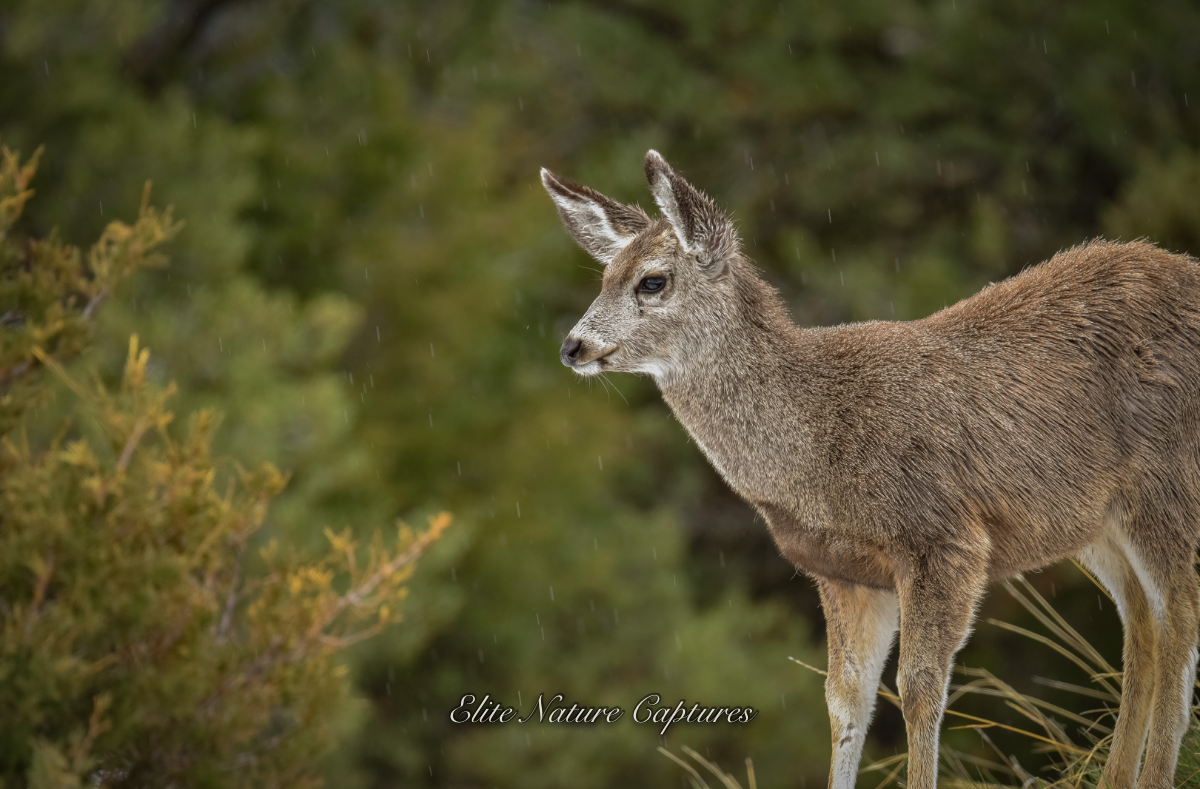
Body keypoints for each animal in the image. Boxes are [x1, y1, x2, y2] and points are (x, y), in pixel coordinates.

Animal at [541, 150, 1200, 789]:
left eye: (652, 280)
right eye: (604, 276)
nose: (571, 346)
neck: (815, 448)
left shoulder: (945, 540)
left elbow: (919, 688)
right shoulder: (844, 573)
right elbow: (845, 698)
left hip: (1166, 481)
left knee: (1179, 622)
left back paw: (1155, 777)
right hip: (1093, 523)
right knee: (1143, 625)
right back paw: (1117, 777)